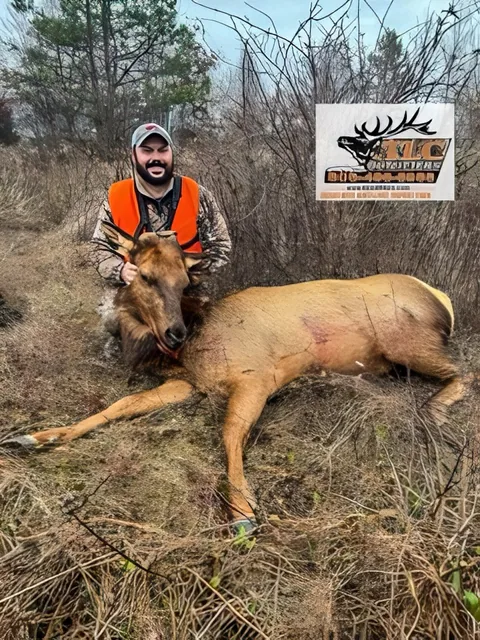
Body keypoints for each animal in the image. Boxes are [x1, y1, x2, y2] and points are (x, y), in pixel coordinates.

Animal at [7, 225, 473, 533]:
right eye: (146, 276)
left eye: (184, 279)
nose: (174, 333)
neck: (196, 343)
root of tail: (441, 298)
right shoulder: (190, 382)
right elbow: (119, 406)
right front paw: (36, 436)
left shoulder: (257, 375)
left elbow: (230, 432)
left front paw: (243, 511)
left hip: (406, 341)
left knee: (465, 372)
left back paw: (434, 413)